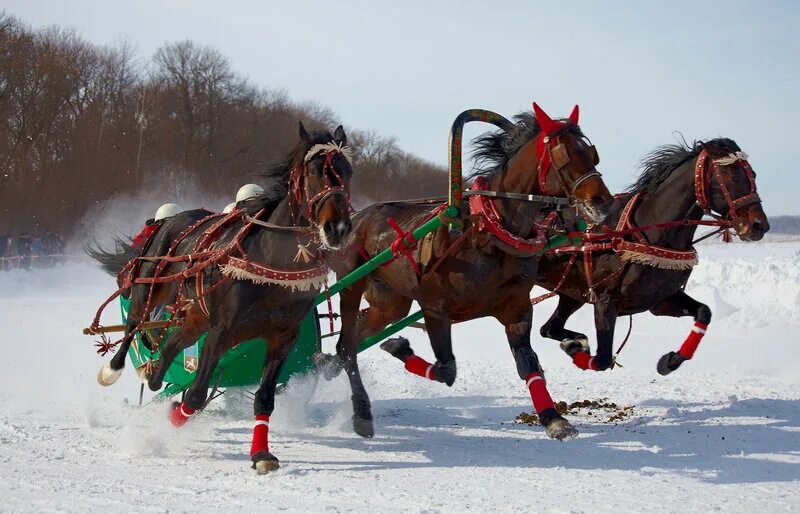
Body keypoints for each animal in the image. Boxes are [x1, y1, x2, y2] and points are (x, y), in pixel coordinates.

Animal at [89, 121, 354, 472]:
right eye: (313, 172)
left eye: (347, 171)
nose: (338, 228)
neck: (271, 259)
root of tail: (171, 220)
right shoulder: (222, 330)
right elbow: (196, 395)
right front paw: (169, 424)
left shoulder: (283, 336)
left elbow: (264, 398)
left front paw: (261, 454)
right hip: (152, 285)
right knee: (134, 324)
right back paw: (115, 369)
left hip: (196, 315)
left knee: (173, 345)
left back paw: (155, 374)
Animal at [316, 104, 616, 440]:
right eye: (563, 155)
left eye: (592, 154)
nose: (603, 202)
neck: (489, 232)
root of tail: (356, 218)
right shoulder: (435, 306)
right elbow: (447, 369)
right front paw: (399, 347)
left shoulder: (517, 308)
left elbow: (529, 364)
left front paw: (553, 417)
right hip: (352, 284)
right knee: (348, 346)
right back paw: (361, 412)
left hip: (390, 301)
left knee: (357, 334)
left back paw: (325, 364)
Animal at [536, 138, 768, 374]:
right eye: (734, 176)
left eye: (754, 174)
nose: (759, 225)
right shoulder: (604, 301)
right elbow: (603, 359)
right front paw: (575, 348)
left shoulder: (661, 299)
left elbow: (704, 312)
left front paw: (670, 360)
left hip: (571, 293)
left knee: (548, 329)